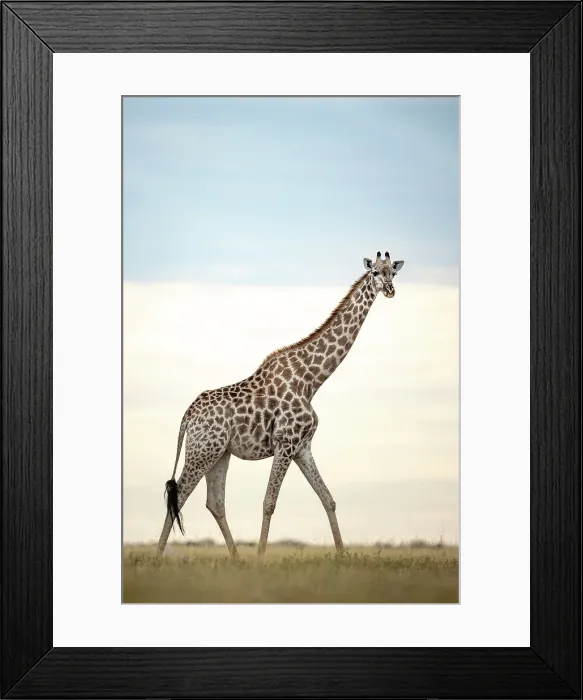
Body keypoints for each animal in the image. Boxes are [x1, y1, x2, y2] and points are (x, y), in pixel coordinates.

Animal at [156, 251, 404, 558]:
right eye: (375, 273)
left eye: (393, 272)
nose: (390, 290)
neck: (311, 380)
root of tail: (187, 415)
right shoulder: (285, 443)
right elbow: (269, 502)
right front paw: (261, 558)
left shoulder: (302, 447)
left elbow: (327, 498)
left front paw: (343, 555)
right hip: (202, 450)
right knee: (178, 496)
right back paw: (158, 558)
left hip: (219, 453)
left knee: (214, 502)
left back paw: (236, 559)